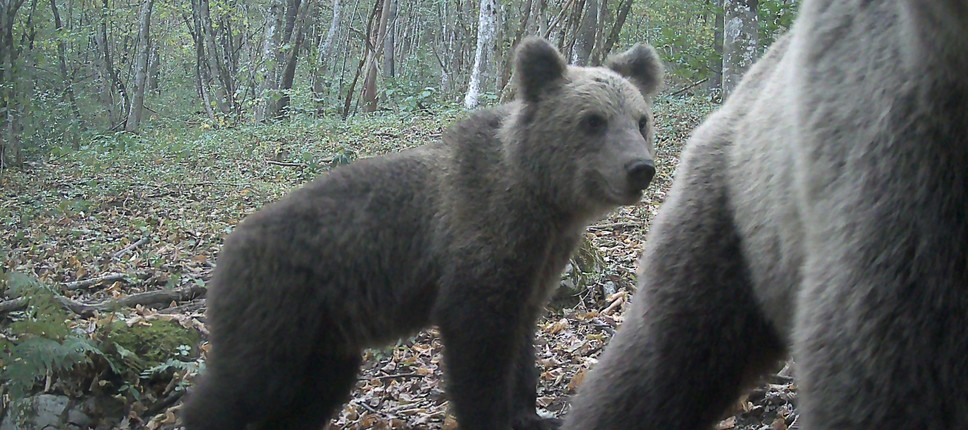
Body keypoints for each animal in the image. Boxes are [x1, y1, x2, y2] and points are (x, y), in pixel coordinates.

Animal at [180, 37, 664, 430]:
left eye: (640, 119)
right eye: (593, 120)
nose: (639, 169)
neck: (542, 202)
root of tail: (228, 248)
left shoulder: (535, 269)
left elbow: (522, 343)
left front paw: (532, 413)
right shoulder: (477, 253)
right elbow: (477, 349)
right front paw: (492, 415)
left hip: (326, 336)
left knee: (311, 395)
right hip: (278, 307)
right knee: (243, 383)